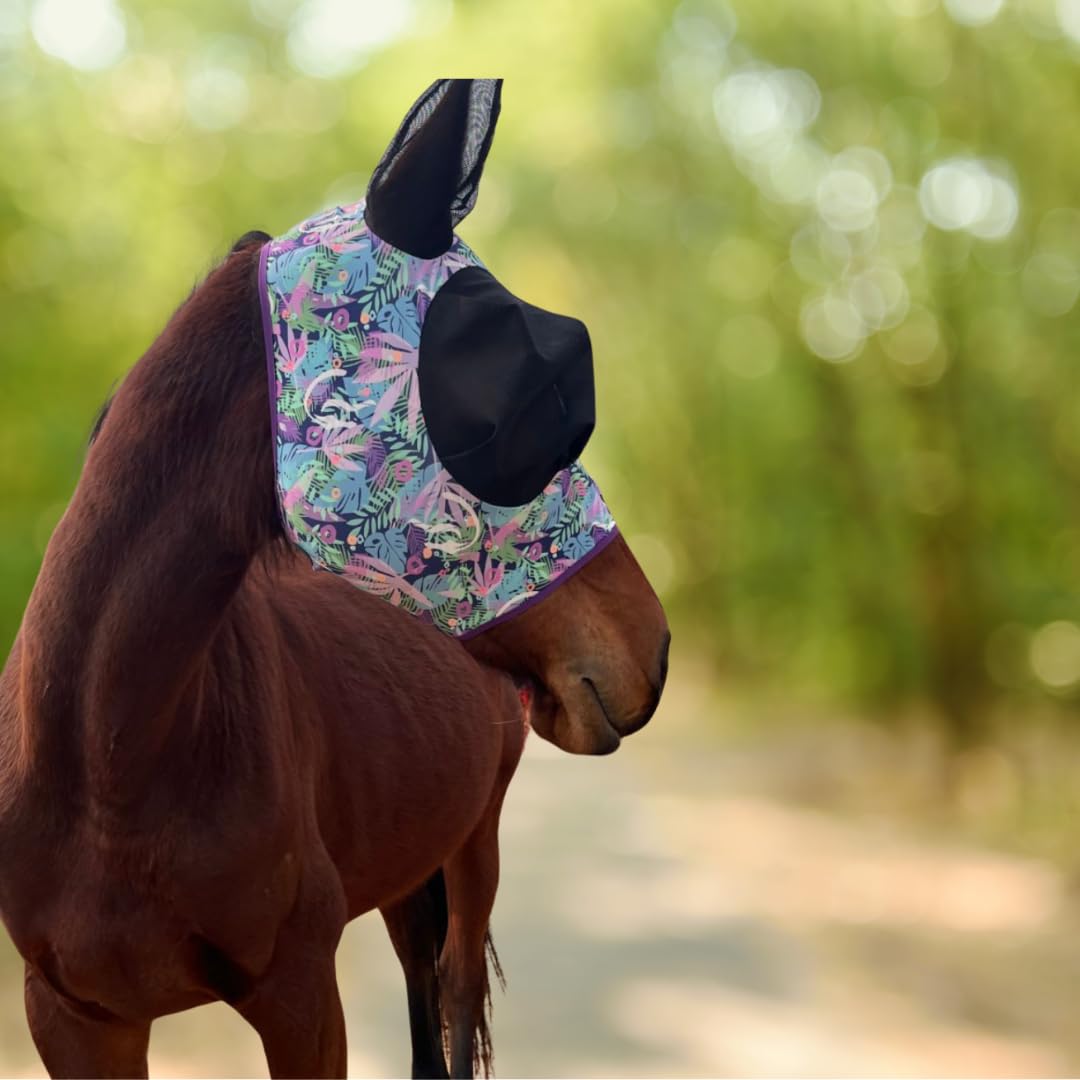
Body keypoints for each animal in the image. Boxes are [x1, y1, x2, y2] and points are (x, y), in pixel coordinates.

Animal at [0, 86, 670, 1079]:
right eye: (516, 398)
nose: (652, 649)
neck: (103, 769)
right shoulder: (76, 1021)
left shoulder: (301, 997)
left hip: (474, 847)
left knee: (453, 998)